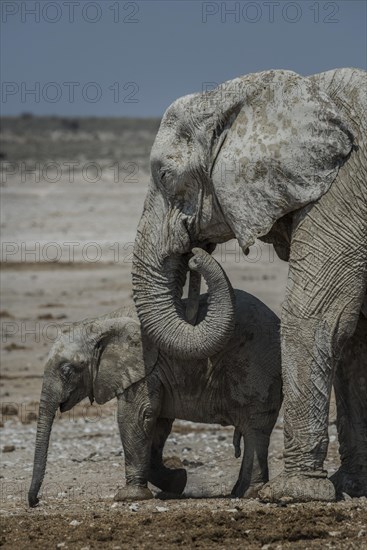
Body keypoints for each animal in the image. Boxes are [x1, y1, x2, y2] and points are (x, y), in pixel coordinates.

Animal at [28, 288, 282, 508]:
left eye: (67, 371)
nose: (35, 501)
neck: (102, 323)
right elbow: (156, 423)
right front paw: (177, 481)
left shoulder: (145, 367)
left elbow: (135, 417)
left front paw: (130, 497)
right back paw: (238, 492)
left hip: (257, 370)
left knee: (255, 430)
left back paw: (249, 493)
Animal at [133, 69, 367, 504]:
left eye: (166, 176)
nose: (195, 254)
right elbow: (353, 336)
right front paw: (350, 487)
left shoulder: (346, 189)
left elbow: (315, 316)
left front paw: (292, 493)